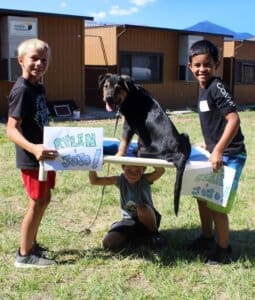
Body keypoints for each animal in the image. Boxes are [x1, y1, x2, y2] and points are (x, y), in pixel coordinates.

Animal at [98, 74, 190, 216]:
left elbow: (123, 143)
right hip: (184, 136)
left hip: (146, 152)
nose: (108, 98)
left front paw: (118, 155)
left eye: (118, 88)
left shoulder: (128, 125)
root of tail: (179, 153)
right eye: (105, 86)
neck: (130, 94)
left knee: (141, 151)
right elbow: (133, 141)